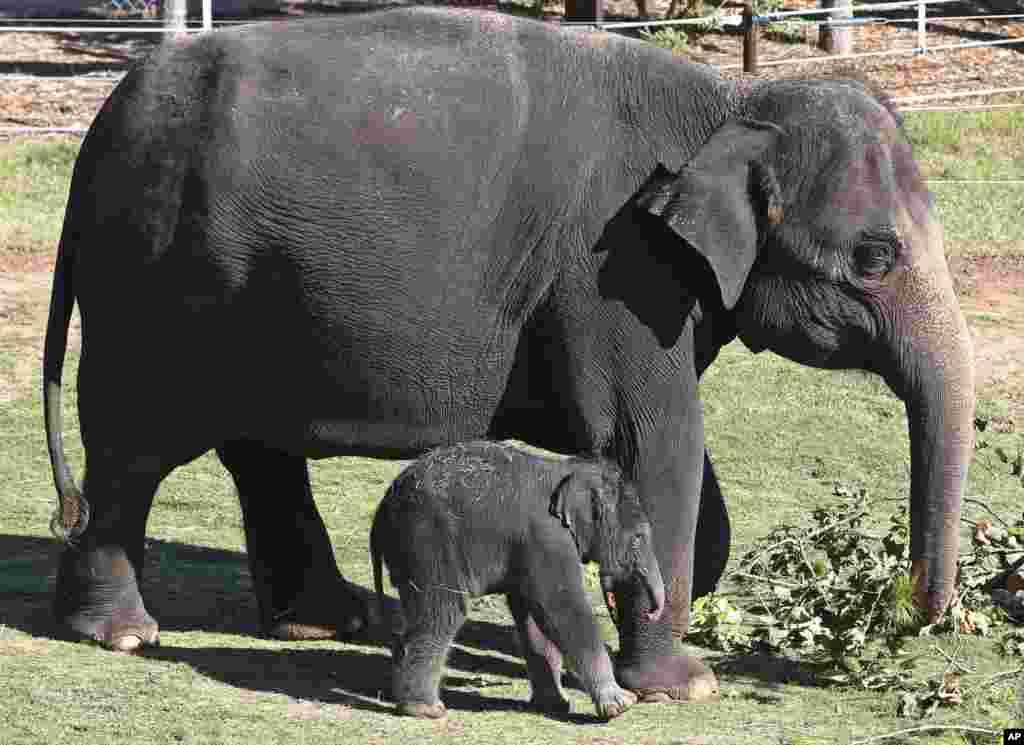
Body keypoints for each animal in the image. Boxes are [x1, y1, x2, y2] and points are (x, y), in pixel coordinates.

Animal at [372, 440, 667, 720]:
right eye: (638, 537)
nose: (652, 612)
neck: (567, 469)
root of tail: (383, 507)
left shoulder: (527, 549)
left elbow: (534, 617)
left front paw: (555, 705)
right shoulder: (547, 538)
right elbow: (561, 608)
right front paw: (620, 705)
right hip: (427, 541)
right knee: (445, 611)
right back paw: (426, 710)